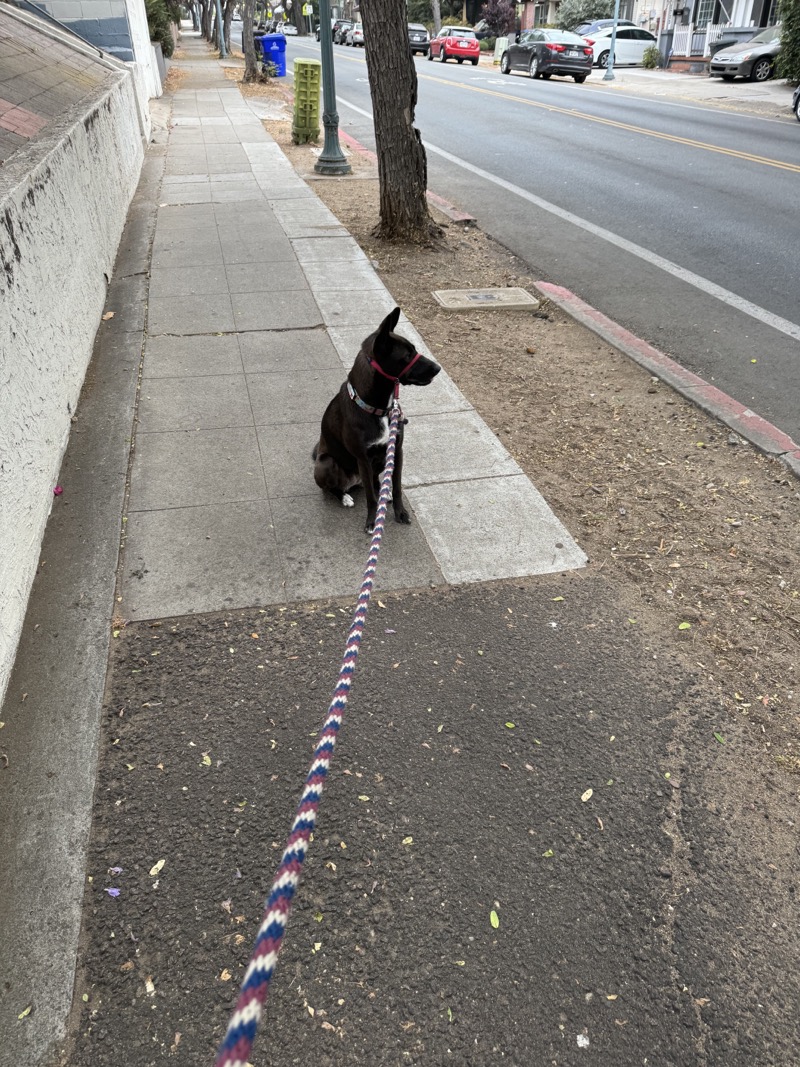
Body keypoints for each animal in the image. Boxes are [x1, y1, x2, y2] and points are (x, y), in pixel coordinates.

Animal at [313, 307, 441, 531]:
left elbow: (397, 487)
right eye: (407, 355)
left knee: (376, 481)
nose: (438, 368)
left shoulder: (397, 450)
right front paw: (372, 521)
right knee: (336, 488)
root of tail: (353, 481)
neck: (378, 409)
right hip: (326, 464)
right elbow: (370, 498)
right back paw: (344, 496)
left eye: (414, 349)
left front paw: (400, 512)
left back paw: (384, 493)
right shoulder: (363, 458)